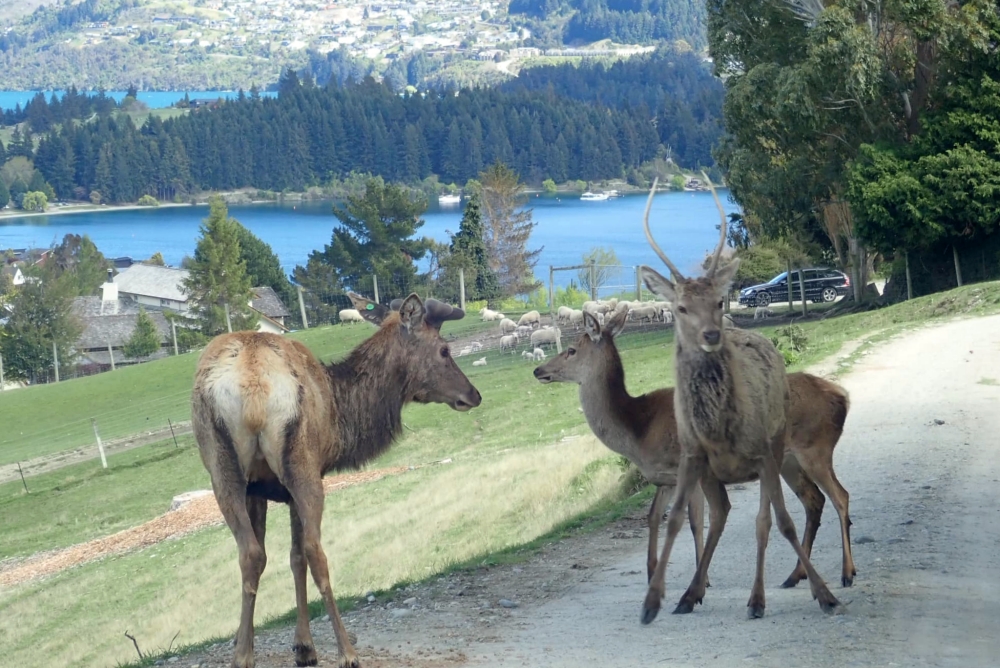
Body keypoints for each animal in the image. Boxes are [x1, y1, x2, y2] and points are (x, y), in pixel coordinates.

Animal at [192, 292, 484, 668]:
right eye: (444, 350)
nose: (473, 394)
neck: (341, 412)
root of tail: (253, 386)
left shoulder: (256, 486)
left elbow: (273, 556)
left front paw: (254, 645)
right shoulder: (304, 476)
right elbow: (298, 556)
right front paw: (305, 647)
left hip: (222, 468)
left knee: (249, 553)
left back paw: (242, 656)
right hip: (301, 465)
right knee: (316, 551)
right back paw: (348, 651)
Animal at [528, 308, 856, 588]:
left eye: (571, 350)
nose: (538, 370)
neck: (639, 429)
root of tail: (843, 395)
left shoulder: (689, 469)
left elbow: (696, 521)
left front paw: (702, 580)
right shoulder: (664, 478)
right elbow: (652, 517)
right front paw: (652, 575)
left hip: (816, 448)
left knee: (840, 495)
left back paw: (847, 573)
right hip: (789, 462)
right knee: (814, 500)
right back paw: (795, 575)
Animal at [636, 175, 840, 624]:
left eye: (717, 301)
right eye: (680, 307)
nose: (712, 334)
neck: (719, 430)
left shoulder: (763, 451)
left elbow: (778, 522)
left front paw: (823, 593)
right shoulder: (692, 456)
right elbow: (676, 520)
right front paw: (652, 601)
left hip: (778, 446)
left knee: (769, 518)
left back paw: (757, 597)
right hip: (721, 473)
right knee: (720, 516)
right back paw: (691, 593)